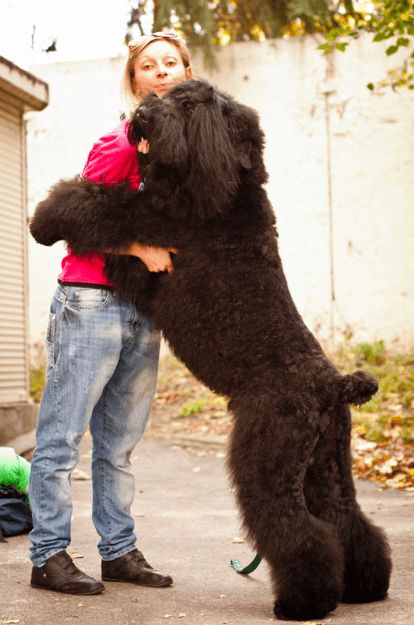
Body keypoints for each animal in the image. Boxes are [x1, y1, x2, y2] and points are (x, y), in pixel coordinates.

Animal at [29, 78, 392, 620]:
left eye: (188, 107)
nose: (143, 111)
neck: (230, 193)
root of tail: (334, 384)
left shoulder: (144, 225)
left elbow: (94, 203)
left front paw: (44, 222)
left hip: (269, 462)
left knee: (296, 530)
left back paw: (302, 602)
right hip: (326, 467)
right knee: (347, 521)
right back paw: (365, 586)